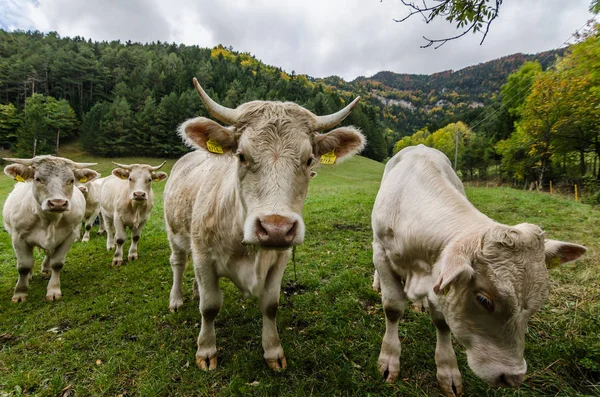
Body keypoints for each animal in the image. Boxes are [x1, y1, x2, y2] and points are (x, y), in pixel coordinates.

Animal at [2, 155, 98, 300]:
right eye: (38, 178)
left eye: (71, 180)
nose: (58, 203)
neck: (49, 221)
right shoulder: (18, 237)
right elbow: (24, 266)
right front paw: (20, 293)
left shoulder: (70, 236)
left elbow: (57, 263)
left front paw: (53, 290)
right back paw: (29, 276)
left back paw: (46, 269)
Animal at [163, 78, 366, 372]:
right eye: (241, 156)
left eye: (309, 160)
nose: (276, 228)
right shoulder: (203, 256)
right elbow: (210, 307)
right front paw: (206, 350)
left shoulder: (279, 260)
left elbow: (270, 305)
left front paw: (273, 351)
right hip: (175, 233)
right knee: (178, 263)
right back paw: (177, 299)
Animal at [370, 145, 584, 396]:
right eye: (484, 300)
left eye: (537, 305)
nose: (513, 377)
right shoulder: (382, 252)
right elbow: (393, 308)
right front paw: (389, 359)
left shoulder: (438, 279)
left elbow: (442, 321)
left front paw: (448, 370)